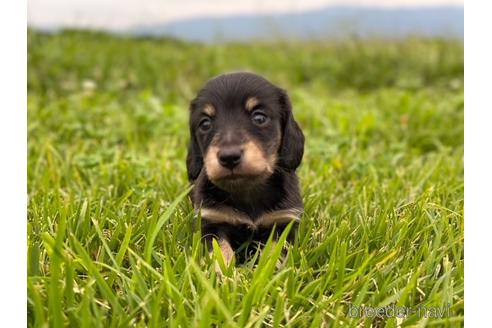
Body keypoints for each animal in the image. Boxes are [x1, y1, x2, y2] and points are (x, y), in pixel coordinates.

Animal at [186, 72, 304, 266]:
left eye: (259, 118)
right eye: (205, 124)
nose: (229, 157)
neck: (247, 191)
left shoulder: (282, 223)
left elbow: (274, 252)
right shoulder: (212, 222)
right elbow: (221, 250)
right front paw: (223, 272)